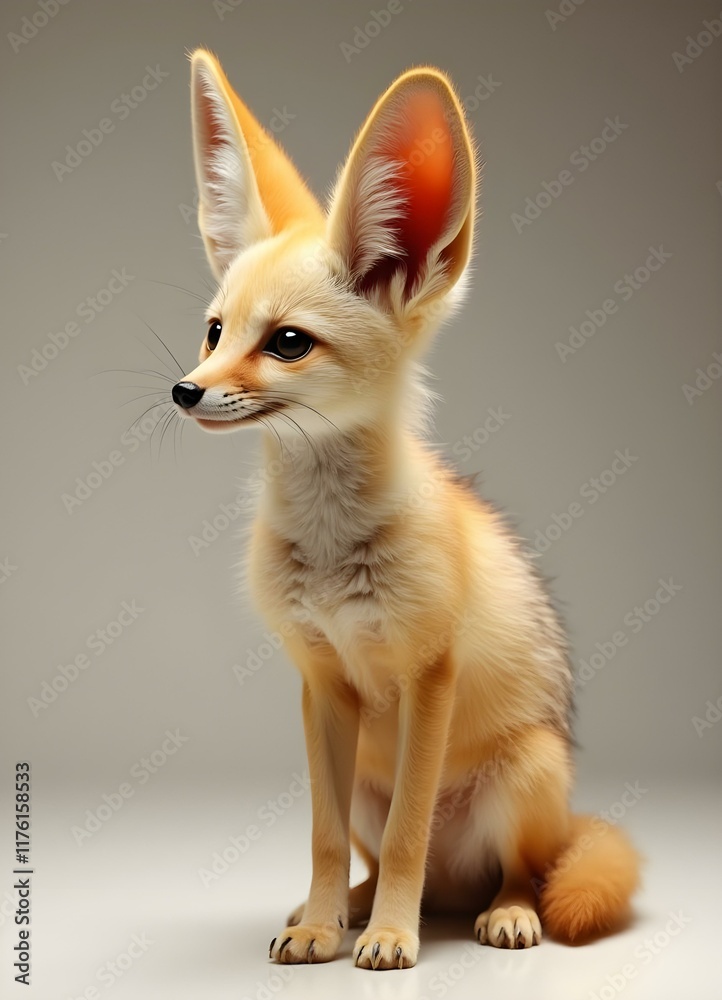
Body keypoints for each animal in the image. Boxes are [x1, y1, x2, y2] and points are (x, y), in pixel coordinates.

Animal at [171, 49, 641, 970]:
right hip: (364, 782)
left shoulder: (431, 676)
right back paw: (348, 908)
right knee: (380, 856)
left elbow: (408, 838)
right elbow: (322, 840)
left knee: (518, 871)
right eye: (214, 332)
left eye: (287, 342)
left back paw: (501, 913)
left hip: (527, 777)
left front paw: (392, 935)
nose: (185, 391)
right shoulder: (320, 683)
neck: (330, 554)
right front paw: (324, 925)